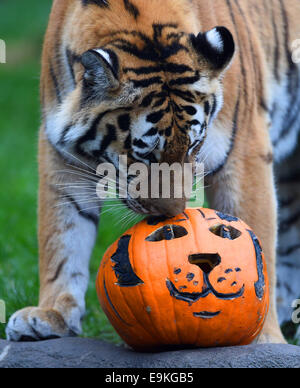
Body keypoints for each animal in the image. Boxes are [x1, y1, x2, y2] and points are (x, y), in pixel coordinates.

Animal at [5, 0, 300, 346]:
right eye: (143, 155)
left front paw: (264, 338)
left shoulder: (244, 147)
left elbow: (258, 242)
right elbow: (62, 234)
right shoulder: (60, 149)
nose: (172, 214)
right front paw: (52, 314)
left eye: (193, 147)